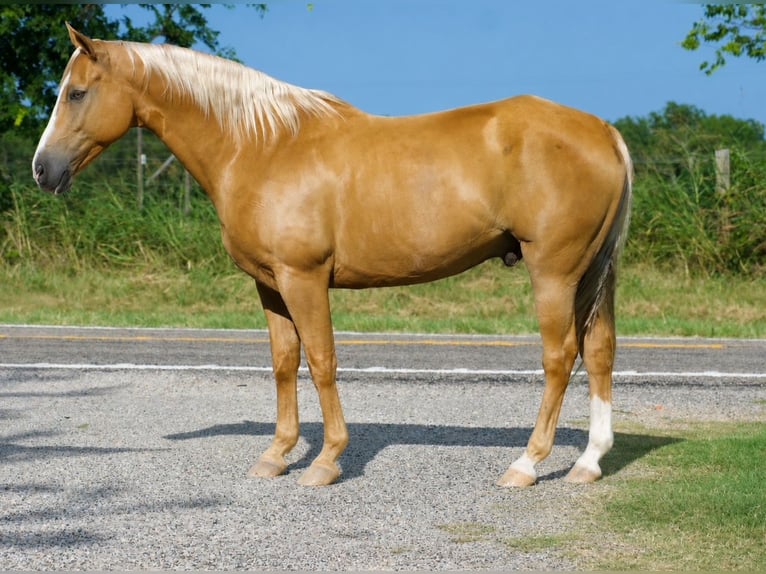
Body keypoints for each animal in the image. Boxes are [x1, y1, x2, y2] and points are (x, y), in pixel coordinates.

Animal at [33, 24, 632, 487]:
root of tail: (603, 130)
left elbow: (322, 362)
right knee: (599, 351)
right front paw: (276, 455)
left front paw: (325, 461)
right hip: (591, 274)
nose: (43, 169)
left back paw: (526, 465)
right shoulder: (270, 284)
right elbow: (284, 364)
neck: (262, 145)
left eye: (77, 93)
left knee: (560, 356)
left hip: (553, 271)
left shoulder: (304, 278)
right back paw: (588, 462)